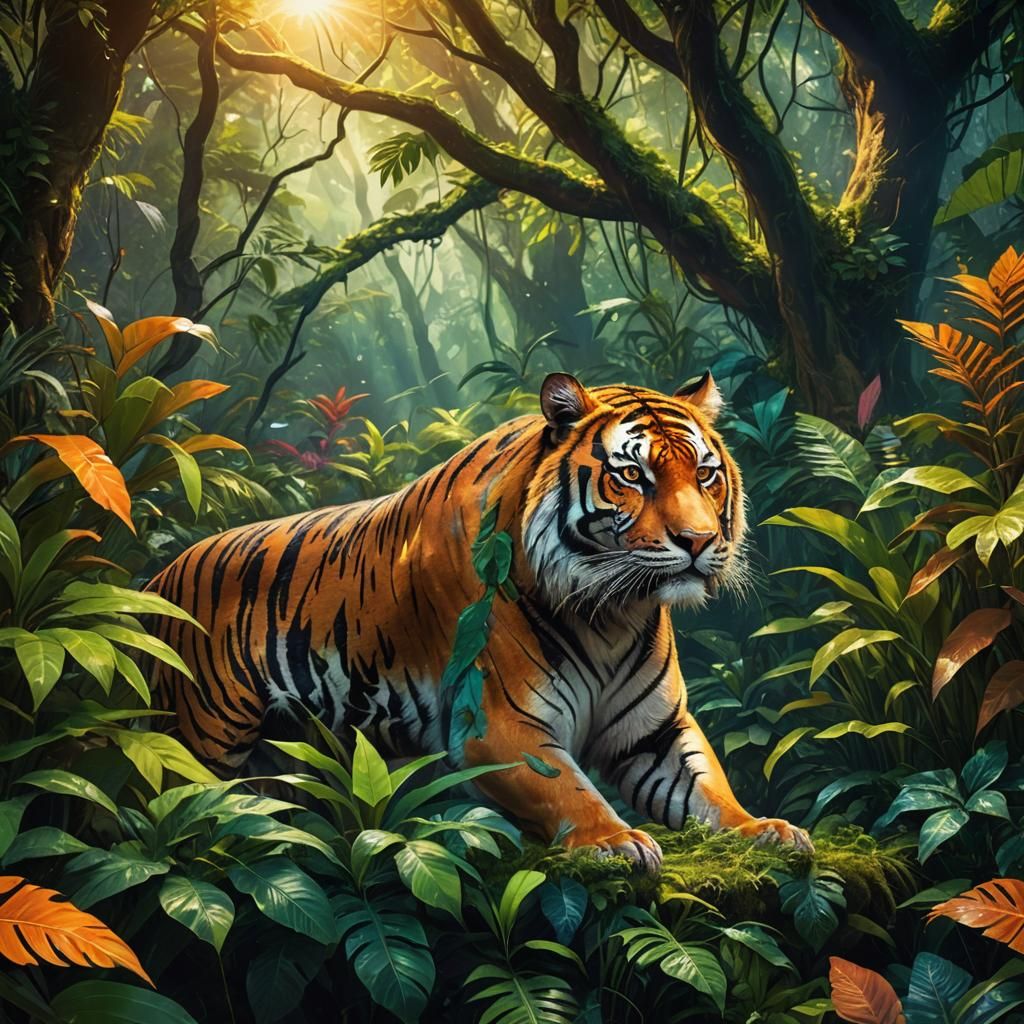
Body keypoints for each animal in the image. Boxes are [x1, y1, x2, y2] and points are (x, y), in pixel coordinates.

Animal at [146, 372, 812, 871]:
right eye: (631, 475)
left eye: (705, 474)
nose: (698, 541)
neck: (612, 612)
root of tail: (156, 579)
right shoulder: (496, 727)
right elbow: (570, 788)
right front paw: (614, 841)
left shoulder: (654, 731)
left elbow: (708, 790)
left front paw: (767, 829)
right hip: (203, 739)